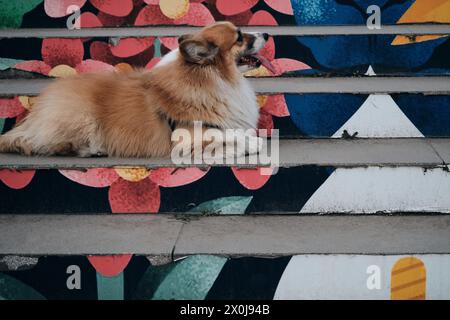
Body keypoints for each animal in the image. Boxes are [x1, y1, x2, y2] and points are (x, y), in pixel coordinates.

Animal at [0, 21, 270, 158]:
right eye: (239, 37)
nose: (267, 33)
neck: (209, 77)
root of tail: (35, 113)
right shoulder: (184, 134)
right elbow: (223, 134)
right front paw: (250, 143)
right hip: (79, 117)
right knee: (38, 142)